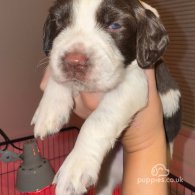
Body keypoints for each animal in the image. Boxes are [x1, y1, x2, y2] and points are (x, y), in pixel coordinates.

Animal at [30, 0, 181, 194]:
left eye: (115, 25)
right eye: (59, 22)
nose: (74, 62)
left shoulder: (135, 82)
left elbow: (98, 119)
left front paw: (75, 167)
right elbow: (57, 75)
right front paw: (48, 112)